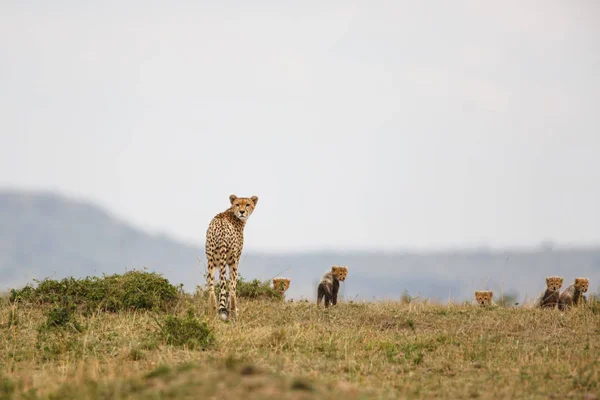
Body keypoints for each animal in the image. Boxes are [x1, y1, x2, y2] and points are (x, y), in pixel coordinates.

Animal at [205, 192, 256, 320]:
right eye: (237, 204)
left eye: (247, 204)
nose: (242, 211)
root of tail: (220, 229)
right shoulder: (235, 260)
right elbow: (232, 286)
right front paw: (233, 311)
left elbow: (221, 288)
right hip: (232, 261)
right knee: (232, 287)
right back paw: (233, 312)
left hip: (211, 261)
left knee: (211, 288)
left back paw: (211, 313)